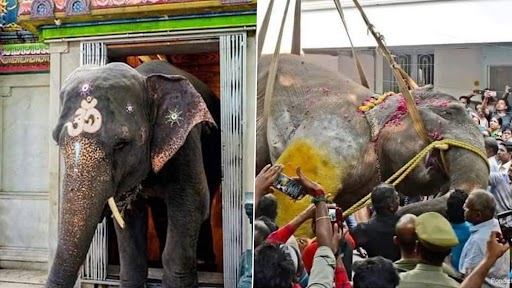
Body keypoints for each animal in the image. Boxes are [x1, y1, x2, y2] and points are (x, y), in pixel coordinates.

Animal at [48, 59, 222, 286]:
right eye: (56, 140)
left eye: (121, 144)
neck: (145, 79)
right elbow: (128, 216)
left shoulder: (185, 141)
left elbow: (192, 202)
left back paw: (205, 263)